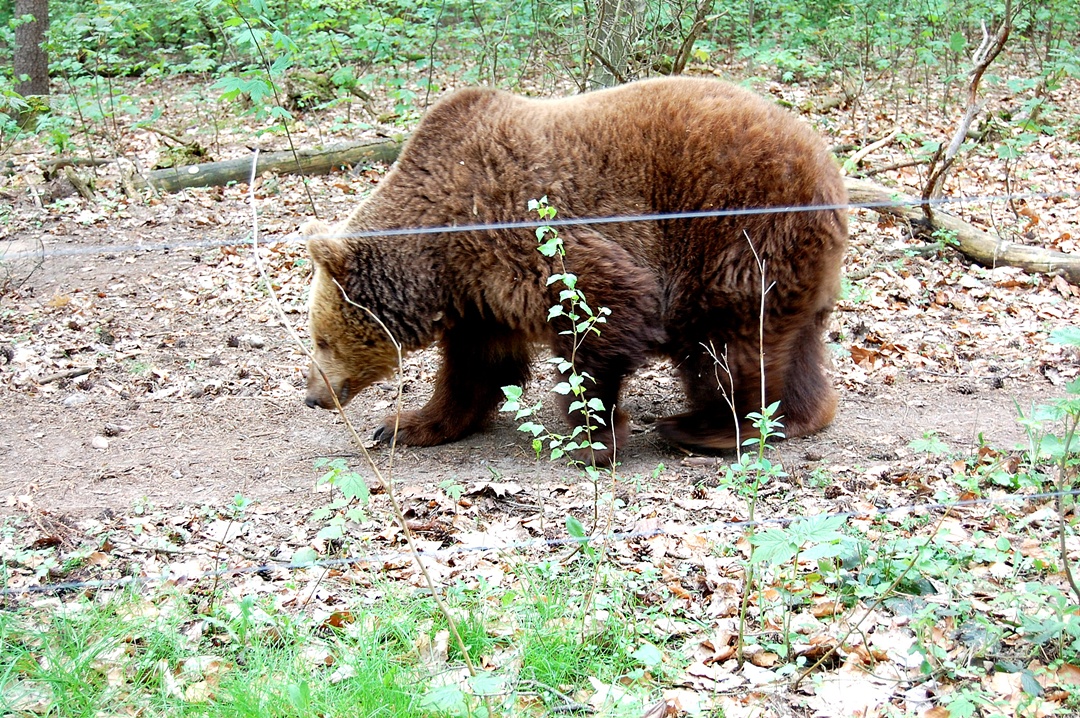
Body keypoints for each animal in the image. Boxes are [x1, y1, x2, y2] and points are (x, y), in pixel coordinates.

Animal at [300, 77, 846, 464]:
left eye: (321, 339)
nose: (313, 396)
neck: (438, 249)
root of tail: (827, 166)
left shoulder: (524, 232)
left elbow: (602, 314)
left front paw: (594, 436)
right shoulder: (478, 294)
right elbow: (476, 367)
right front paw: (404, 424)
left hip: (735, 233)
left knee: (725, 344)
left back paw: (705, 428)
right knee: (788, 343)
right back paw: (798, 416)